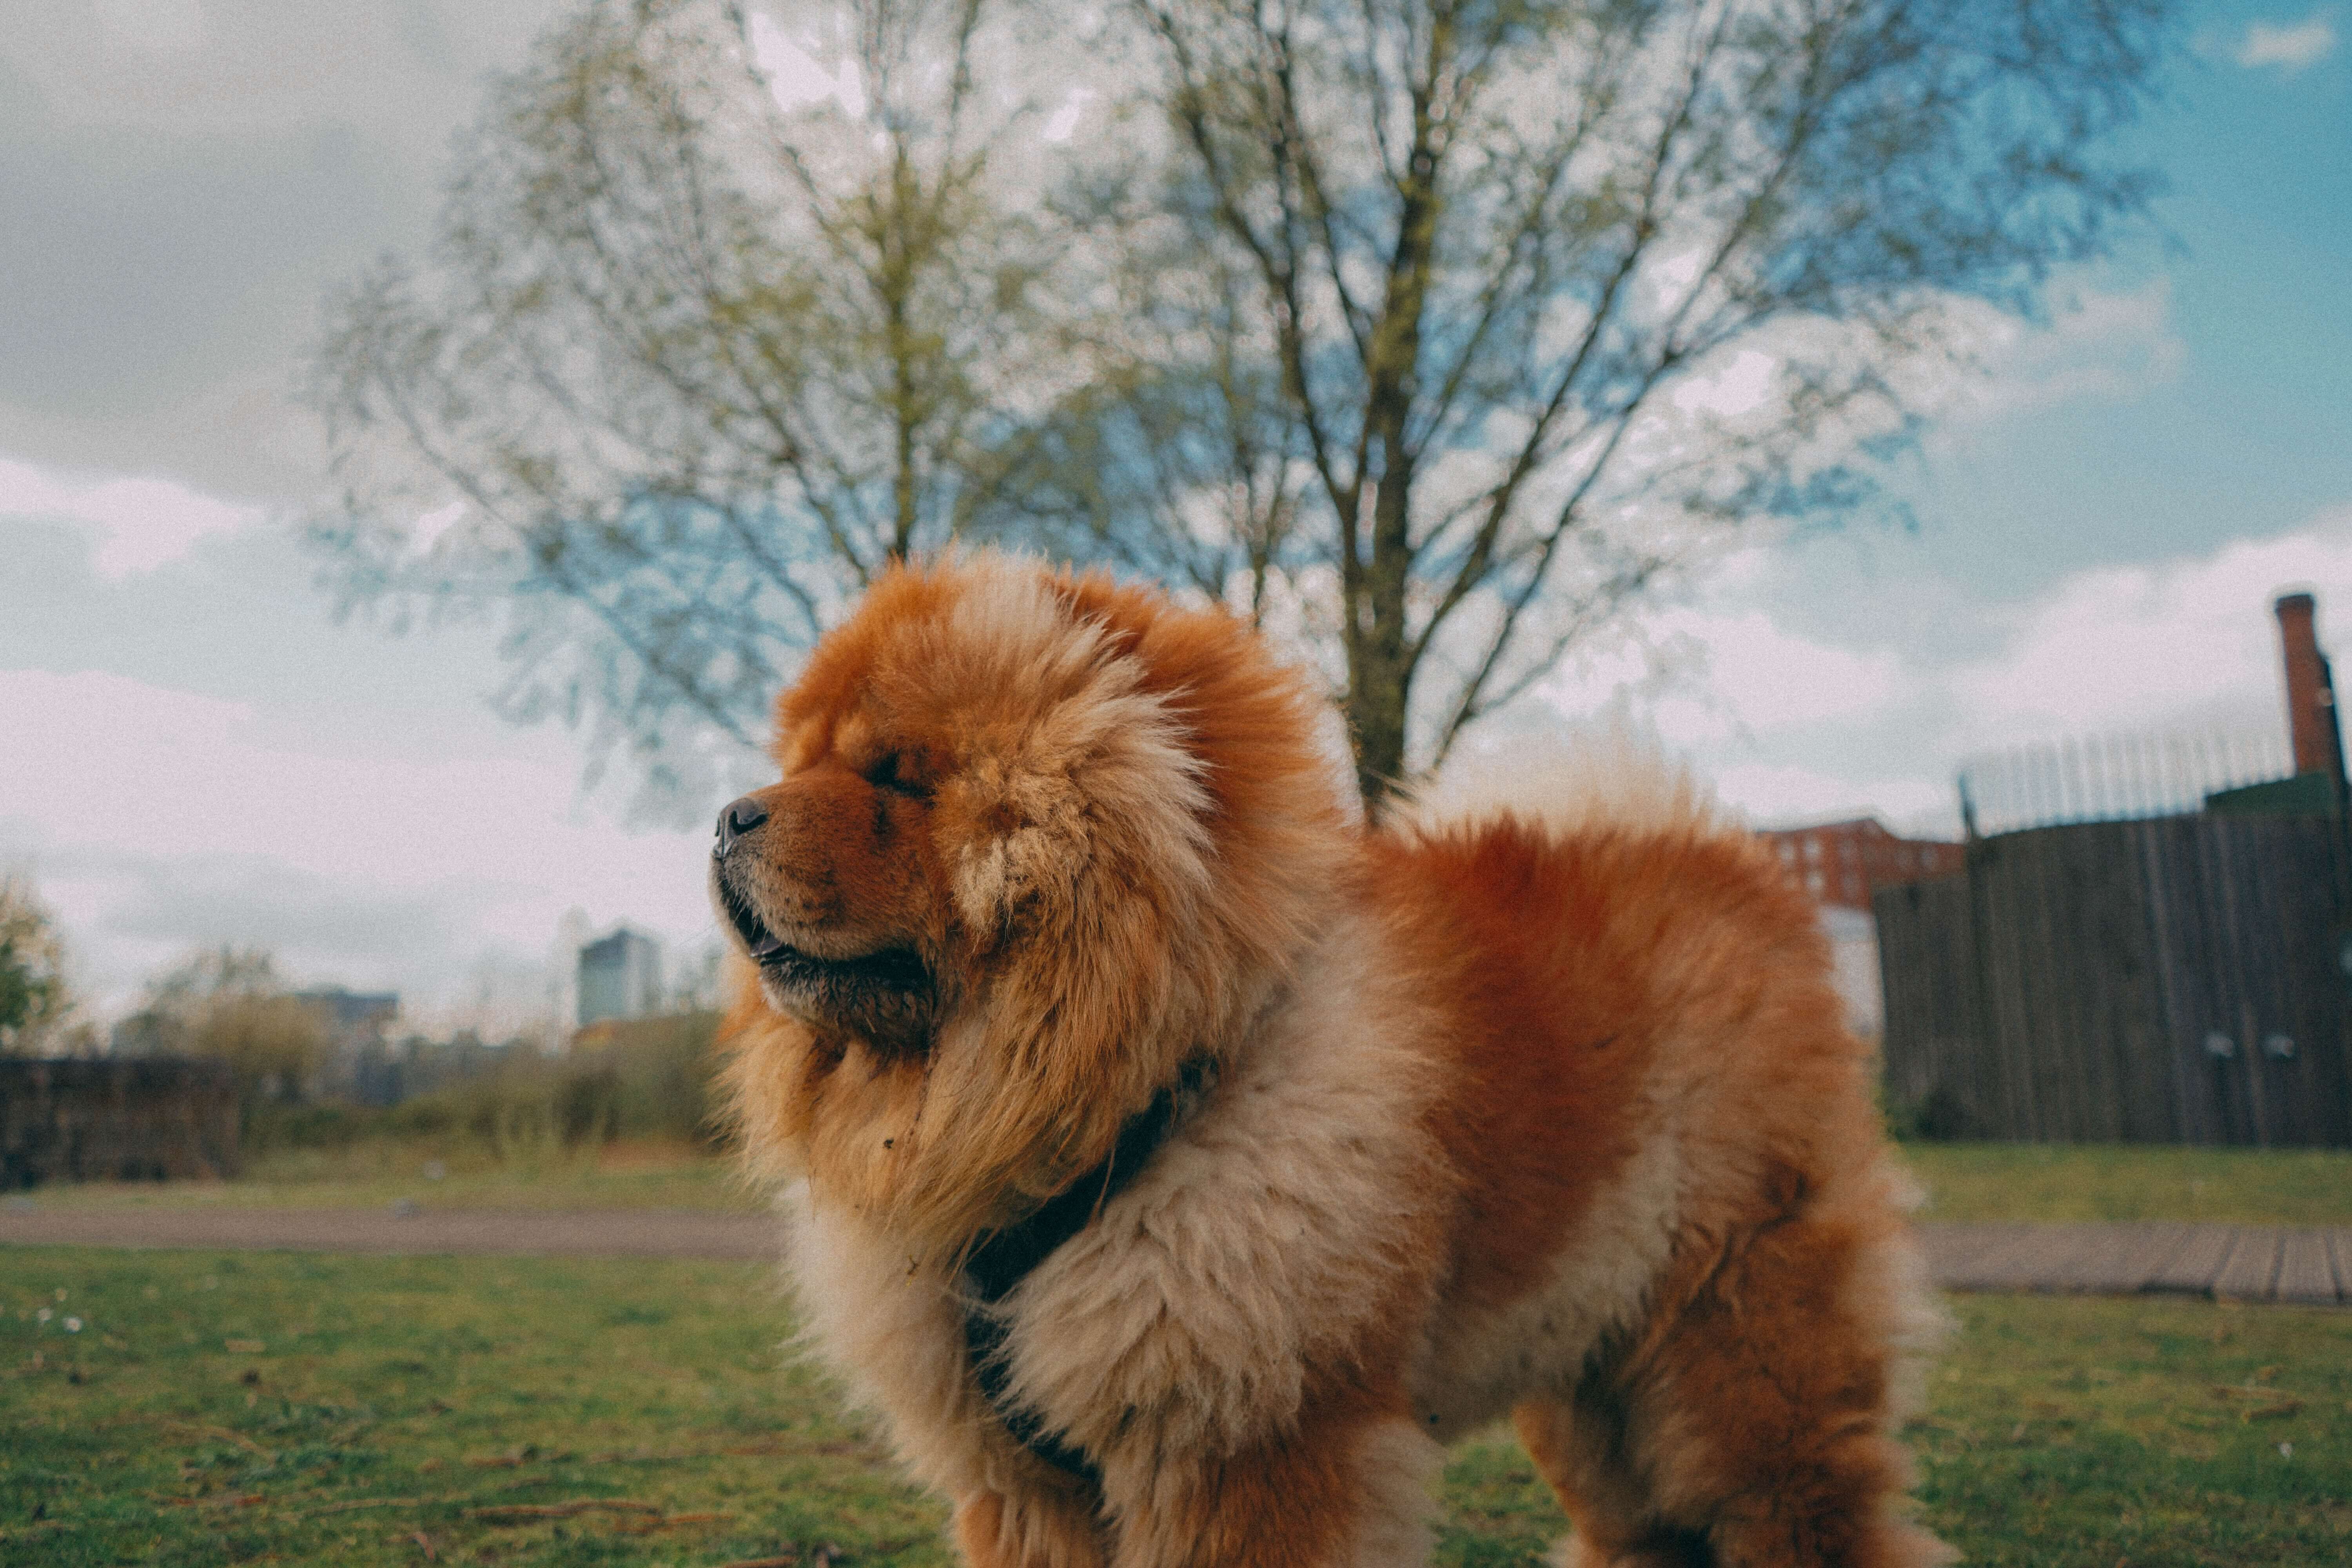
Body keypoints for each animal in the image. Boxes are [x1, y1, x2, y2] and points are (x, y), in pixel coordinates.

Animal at [715, 555, 1947, 1568]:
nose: (730, 815)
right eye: (802, 761)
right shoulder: (1024, 1485)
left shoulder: (1251, 1436)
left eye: (898, 775)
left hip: (1738, 1345)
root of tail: (1725, 865)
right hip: (1592, 1362)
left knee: (1801, 1508)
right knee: (1643, 1528)